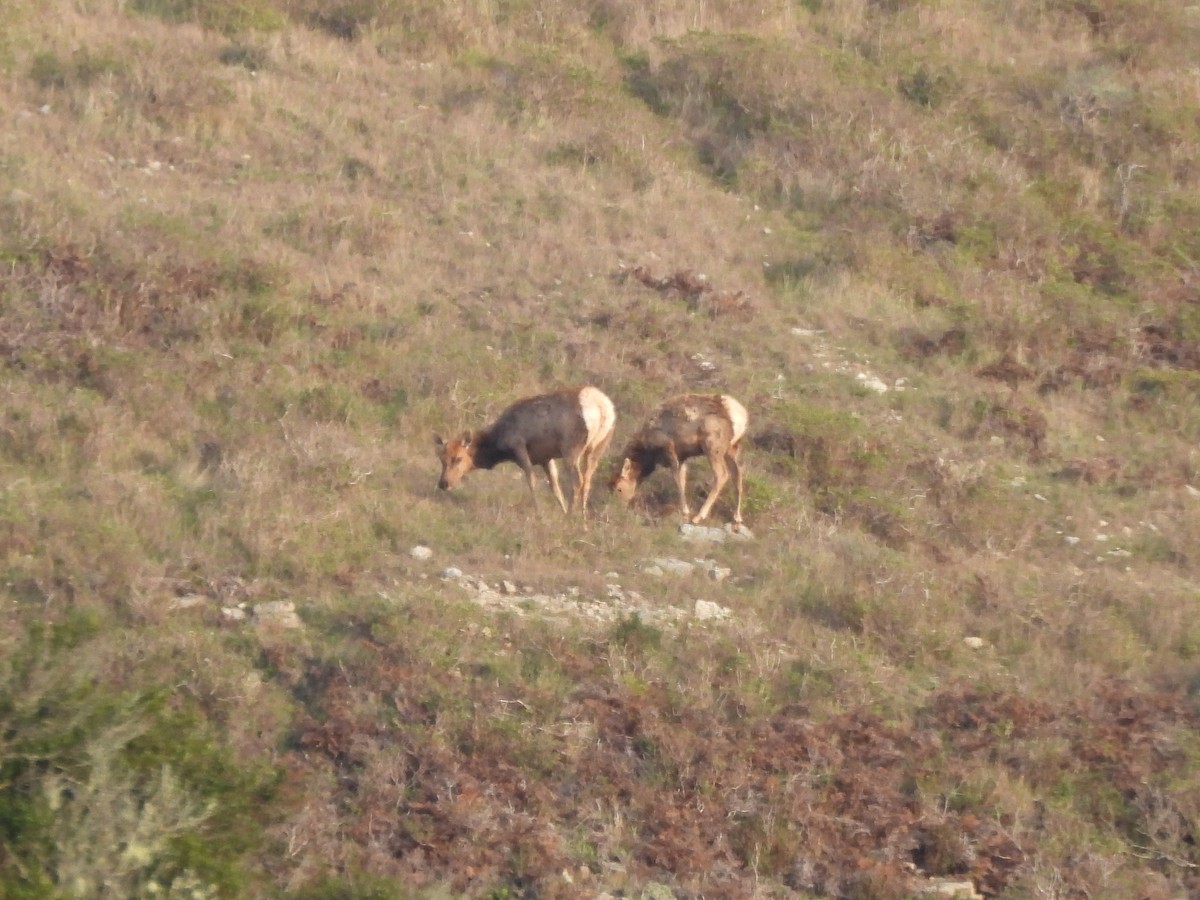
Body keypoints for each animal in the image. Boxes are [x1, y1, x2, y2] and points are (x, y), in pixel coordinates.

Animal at [434, 386, 616, 523]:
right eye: (441, 458)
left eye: (458, 458)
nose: (443, 483)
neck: (499, 445)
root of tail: (602, 408)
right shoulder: (545, 458)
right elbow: (555, 487)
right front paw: (561, 510)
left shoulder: (519, 446)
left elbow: (532, 480)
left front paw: (539, 514)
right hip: (598, 447)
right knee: (587, 481)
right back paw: (583, 522)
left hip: (571, 448)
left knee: (577, 481)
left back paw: (570, 518)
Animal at [610, 393, 748, 528]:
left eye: (619, 488)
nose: (618, 506)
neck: (648, 452)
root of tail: (740, 416)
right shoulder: (682, 456)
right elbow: (682, 479)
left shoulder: (670, 450)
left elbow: (678, 481)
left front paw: (685, 513)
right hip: (733, 448)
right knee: (738, 475)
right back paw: (737, 518)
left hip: (713, 446)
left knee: (722, 475)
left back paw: (699, 516)